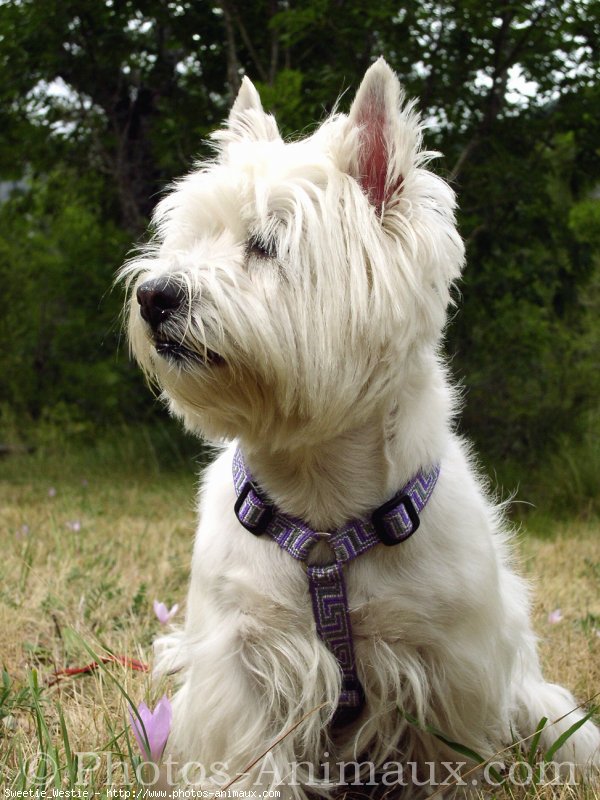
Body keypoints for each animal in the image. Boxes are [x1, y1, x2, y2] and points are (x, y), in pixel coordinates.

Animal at [120, 61, 596, 792]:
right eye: (188, 239)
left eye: (265, 244)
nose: (154, 295)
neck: (319, 498)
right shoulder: (244, 659)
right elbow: (248, 763)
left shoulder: (445, 667)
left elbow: (444, 760)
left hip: (538, 705)